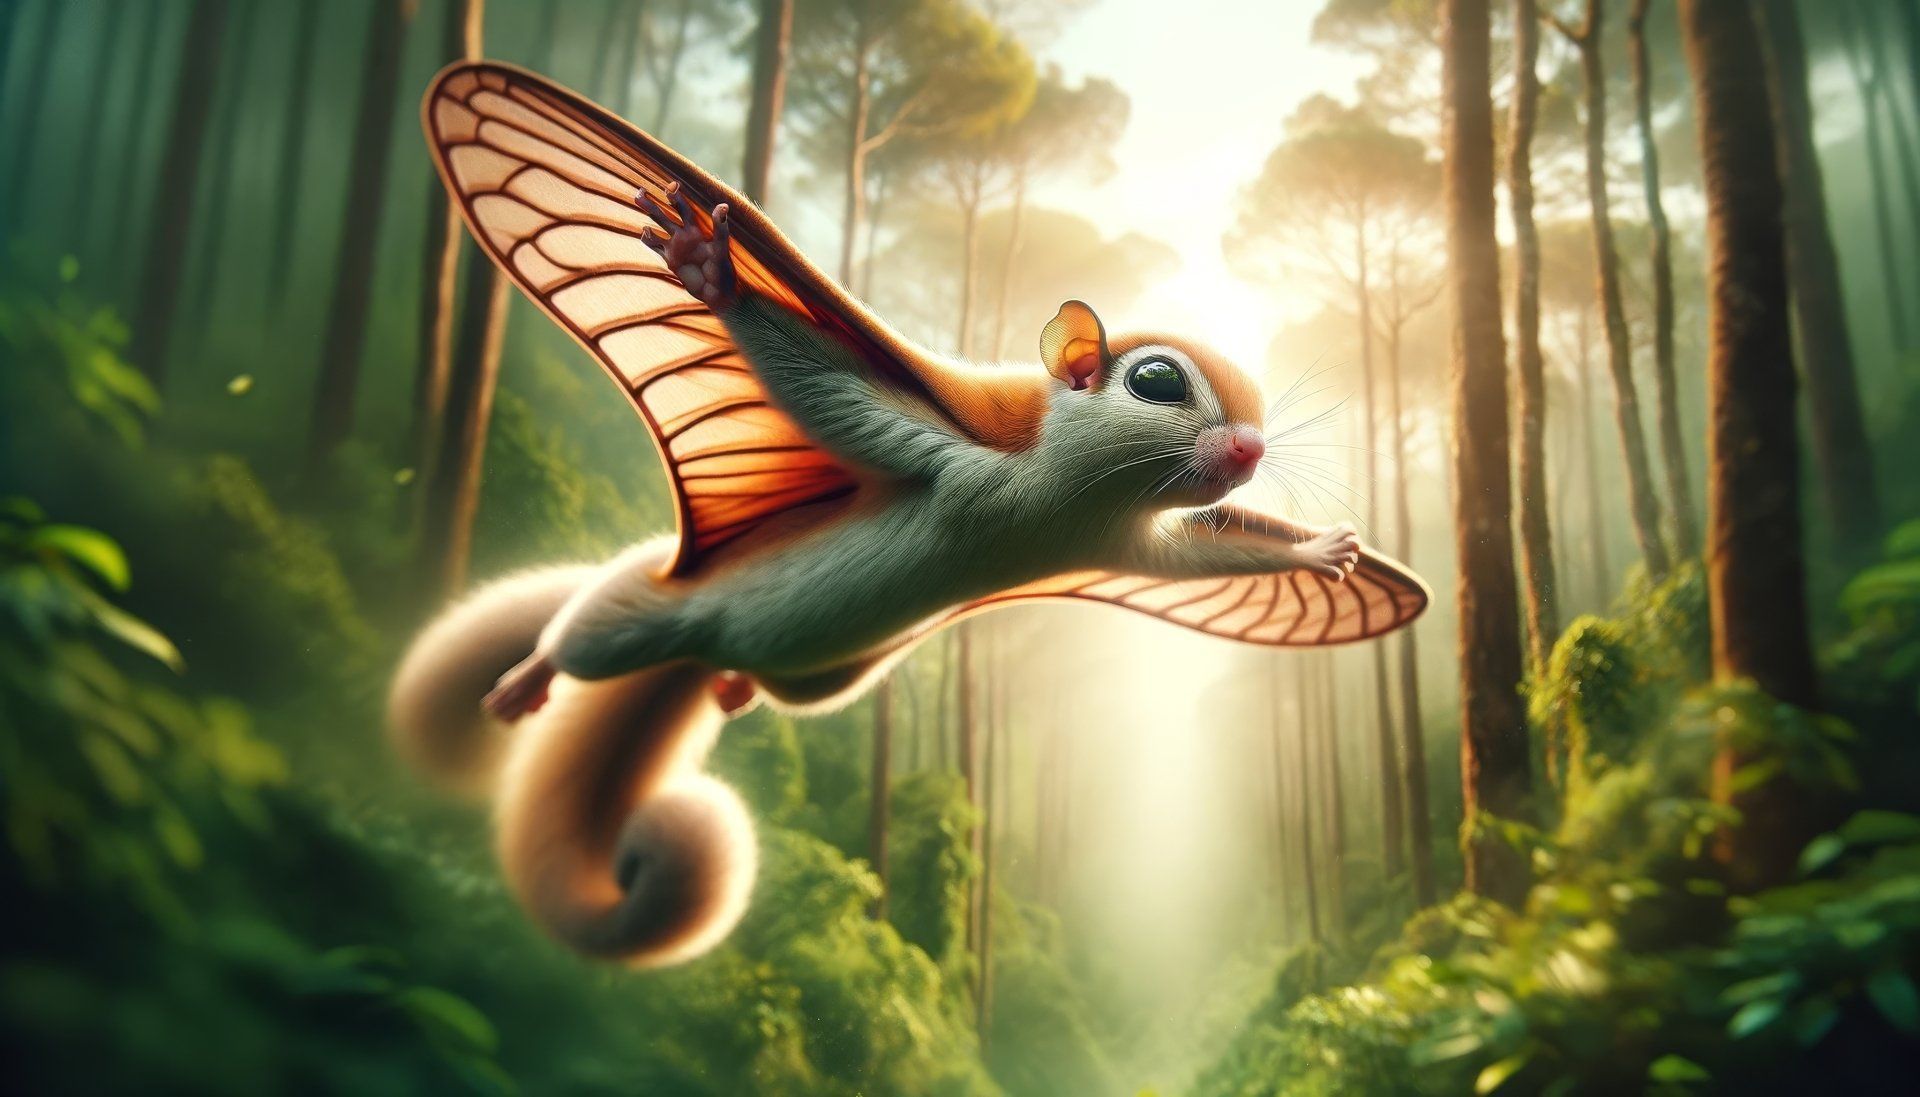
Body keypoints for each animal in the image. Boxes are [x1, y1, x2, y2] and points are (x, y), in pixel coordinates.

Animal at [392, 63, 1430, 967]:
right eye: (1158, 380)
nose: (1250, 453)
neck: (1072, 494)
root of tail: (697, 639)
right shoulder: (952, 455)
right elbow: (821, 389)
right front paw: (711, 267)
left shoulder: (1120, 542)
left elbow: (1201, 560)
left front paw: (1320, 550)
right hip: (649, 612)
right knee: (587, 638)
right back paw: (528, 677)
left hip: (825, 676)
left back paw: (726, 688)